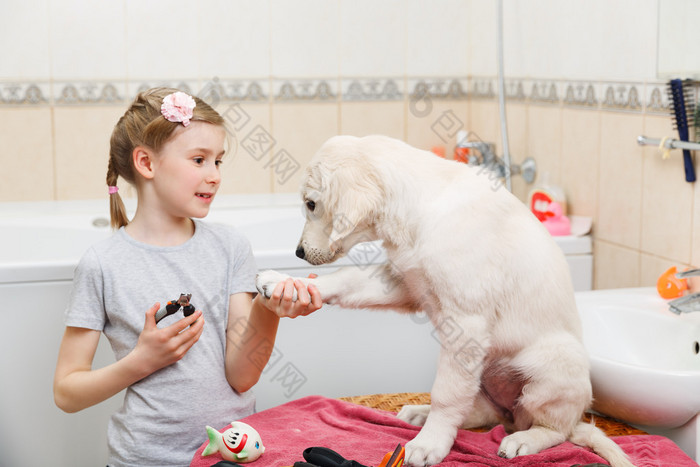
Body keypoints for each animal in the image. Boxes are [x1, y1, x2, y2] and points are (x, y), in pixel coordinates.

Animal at [256, 135, 636, 467]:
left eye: (310, 204)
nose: (298, 253)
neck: (418, 213)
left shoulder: (466, 322)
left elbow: (446, 394)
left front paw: (428, 445)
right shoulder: (402, 281)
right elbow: (345, 279)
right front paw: (286, 282)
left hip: (555, 367)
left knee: (554, 428)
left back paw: (523, 440)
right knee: (484, 413)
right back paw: (420, 413)